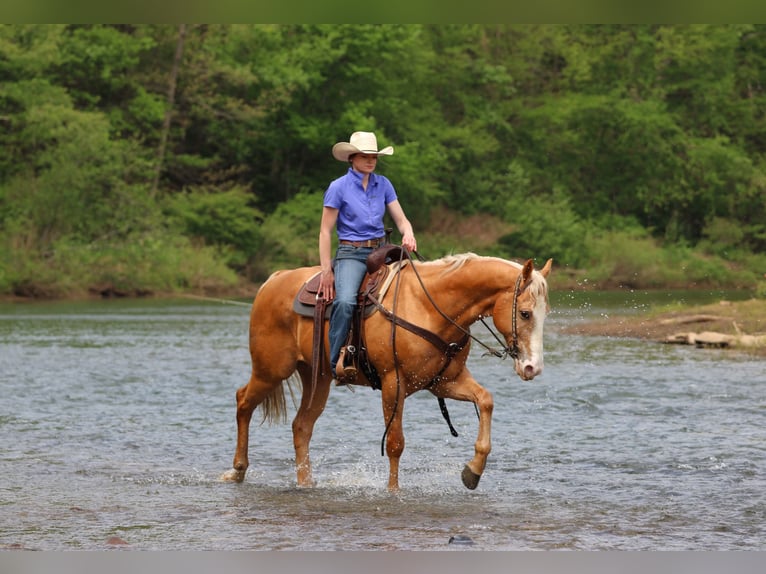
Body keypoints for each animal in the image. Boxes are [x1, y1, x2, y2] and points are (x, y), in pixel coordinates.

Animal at [220, 252, 553, 491]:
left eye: (544, 314)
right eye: (524, 313)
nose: (533, 367)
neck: (429, 305)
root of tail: (272, 281)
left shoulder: (443, 382)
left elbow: (486, 400)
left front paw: (473, 471)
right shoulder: (395, 383)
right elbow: (395, 443)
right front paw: (393, 491)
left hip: (317, 378)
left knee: (301, 426)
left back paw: (306, 483)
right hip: (271, 370)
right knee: (243, 401)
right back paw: (237, 470)